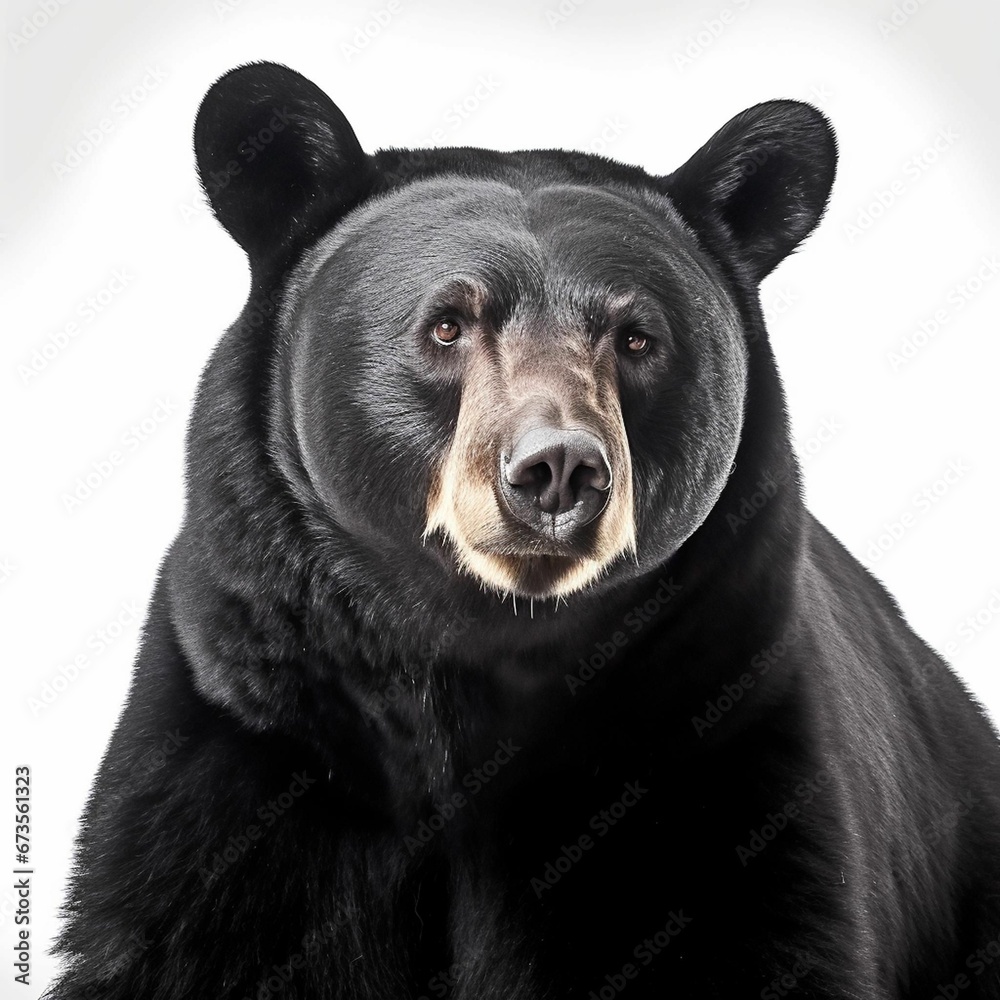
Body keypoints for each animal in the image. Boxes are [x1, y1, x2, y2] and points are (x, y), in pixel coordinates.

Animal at [48, 61, 1000, 1000]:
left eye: (638, 337)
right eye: (446, 324)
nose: (559, 470)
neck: (473, 665)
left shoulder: (713, 739)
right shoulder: (252, 738)